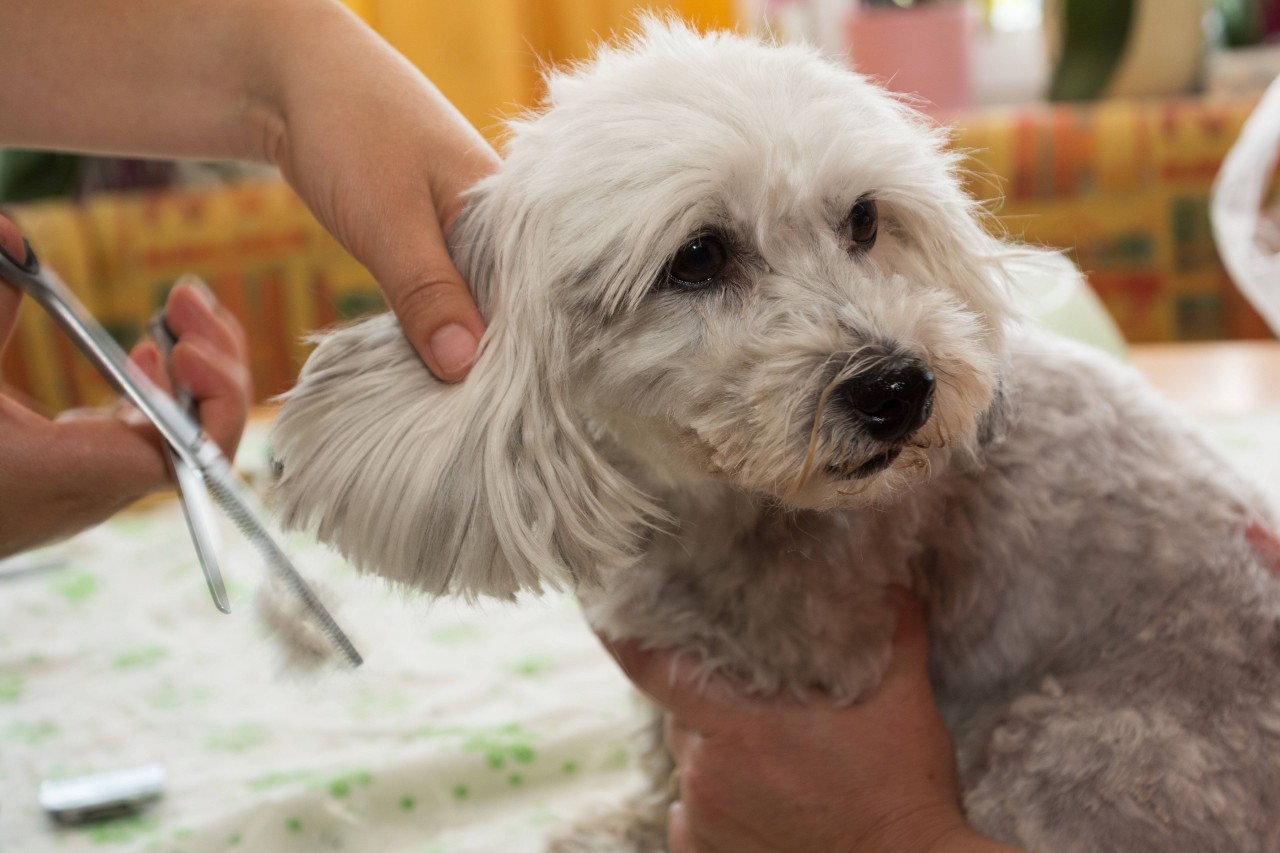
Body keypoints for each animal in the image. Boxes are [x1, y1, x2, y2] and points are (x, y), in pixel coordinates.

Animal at [270, 21, 1280, 850]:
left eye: (865, 218)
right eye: (697, 257)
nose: (899, 387)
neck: (718, 505)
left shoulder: (794, 671)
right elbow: (655, 759)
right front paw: (625, 826)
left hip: (1070, 748)